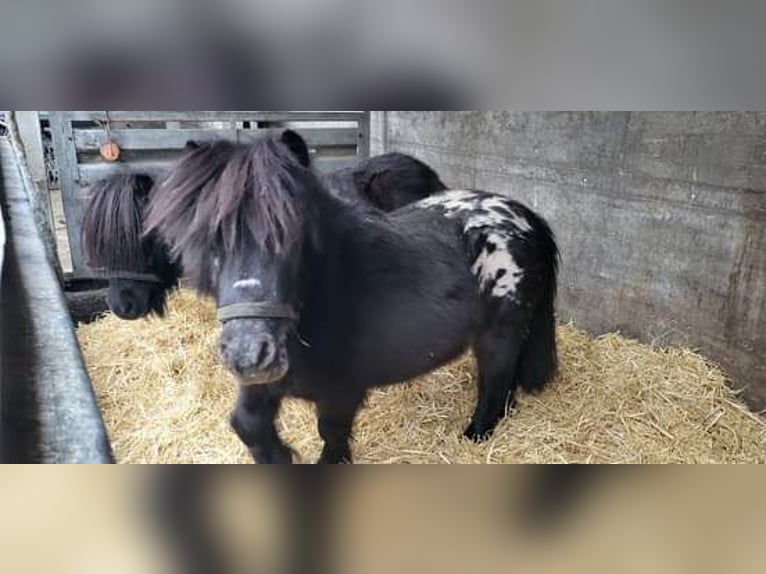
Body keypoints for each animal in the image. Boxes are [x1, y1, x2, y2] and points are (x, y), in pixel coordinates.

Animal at [147, 132, 560, 464]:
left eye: (292, 239)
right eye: (207, 241)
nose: (250, 355)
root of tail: (527, 217)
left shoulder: (342, 390)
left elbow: (331, 434)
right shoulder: (261, 385)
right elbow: (246, 423)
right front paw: (280, 456)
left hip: (500, 334)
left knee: (495, 381)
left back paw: (476, 434)